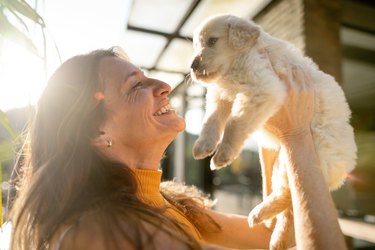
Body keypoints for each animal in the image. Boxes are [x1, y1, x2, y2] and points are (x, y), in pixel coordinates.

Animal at [191, 14, 358, 250]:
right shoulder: (221, 95)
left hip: (313, 155)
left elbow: (234, 123)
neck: (235, 64)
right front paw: (203, 146)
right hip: (284, 160)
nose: (193, 66)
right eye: (196, 46)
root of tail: (348, 161)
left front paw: (222, 155)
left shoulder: (262, 89)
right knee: (290, 206)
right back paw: (277, 236)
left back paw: (259, 215)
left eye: (212, 41)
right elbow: (211, 120)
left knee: (287, 192)